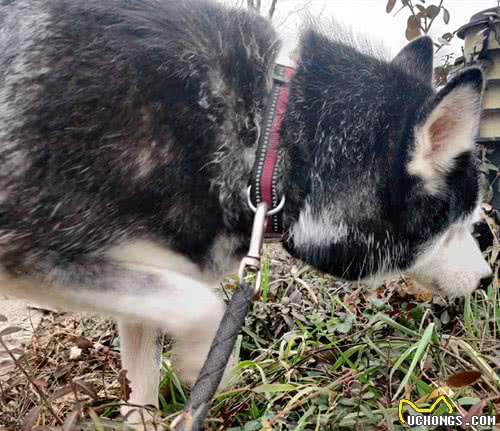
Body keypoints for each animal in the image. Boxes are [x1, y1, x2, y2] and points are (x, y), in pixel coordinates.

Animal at [0, 0, 492, 422]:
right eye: (458, 222)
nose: (488, 278)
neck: (271, 143)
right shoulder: (27, 254)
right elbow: (203, 307)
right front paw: (203, 365)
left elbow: (141, 390)